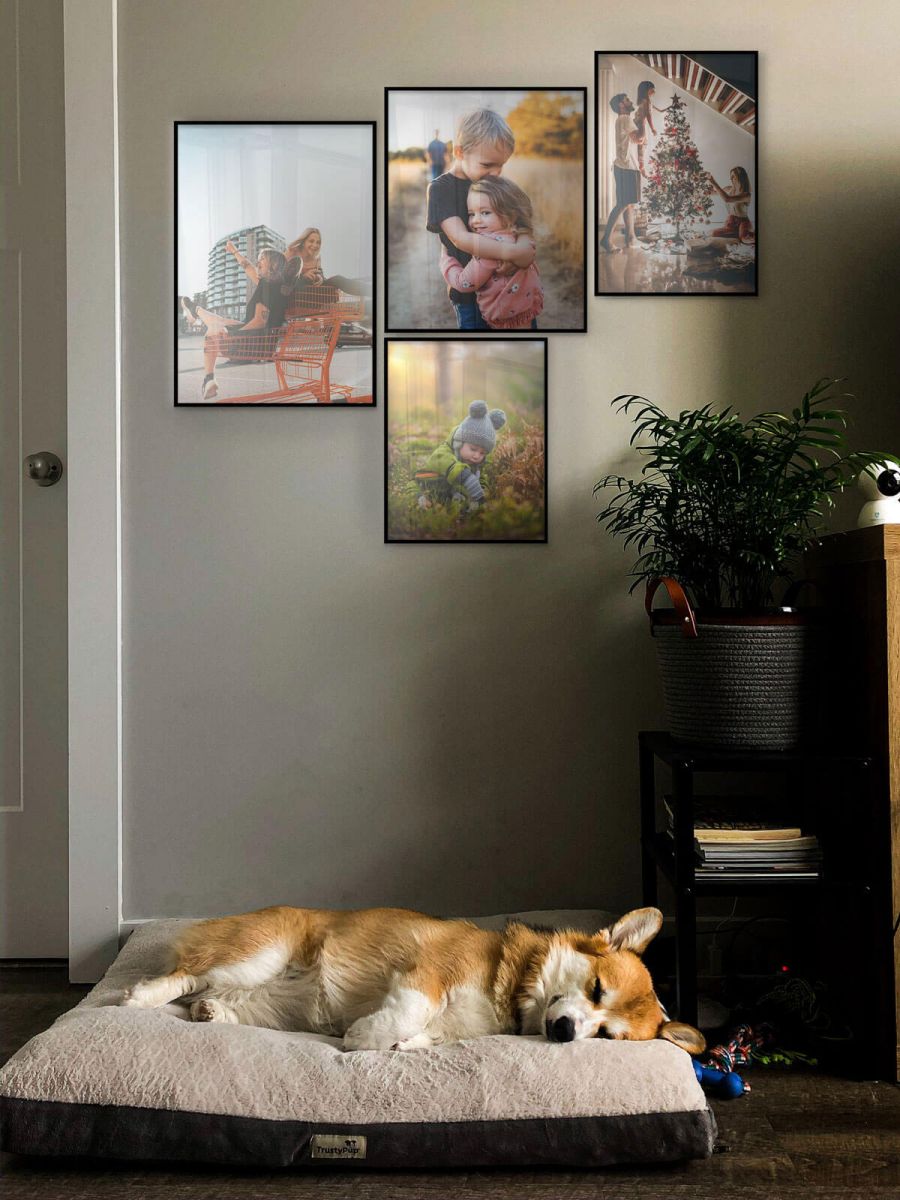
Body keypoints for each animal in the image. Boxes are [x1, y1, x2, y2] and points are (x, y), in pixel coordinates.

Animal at [122, 904, 704, 1053]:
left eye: (606, 1035)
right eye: (597, 989)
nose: (564, 1032)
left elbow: (419, 1034)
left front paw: (405, 1046)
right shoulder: (427, 974)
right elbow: (405, 1012)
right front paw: (363, 1038)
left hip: (263, 1002)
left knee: (215, 998)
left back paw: (212, 1011)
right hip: (258, 954)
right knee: (184, 975)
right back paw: (141, 997)